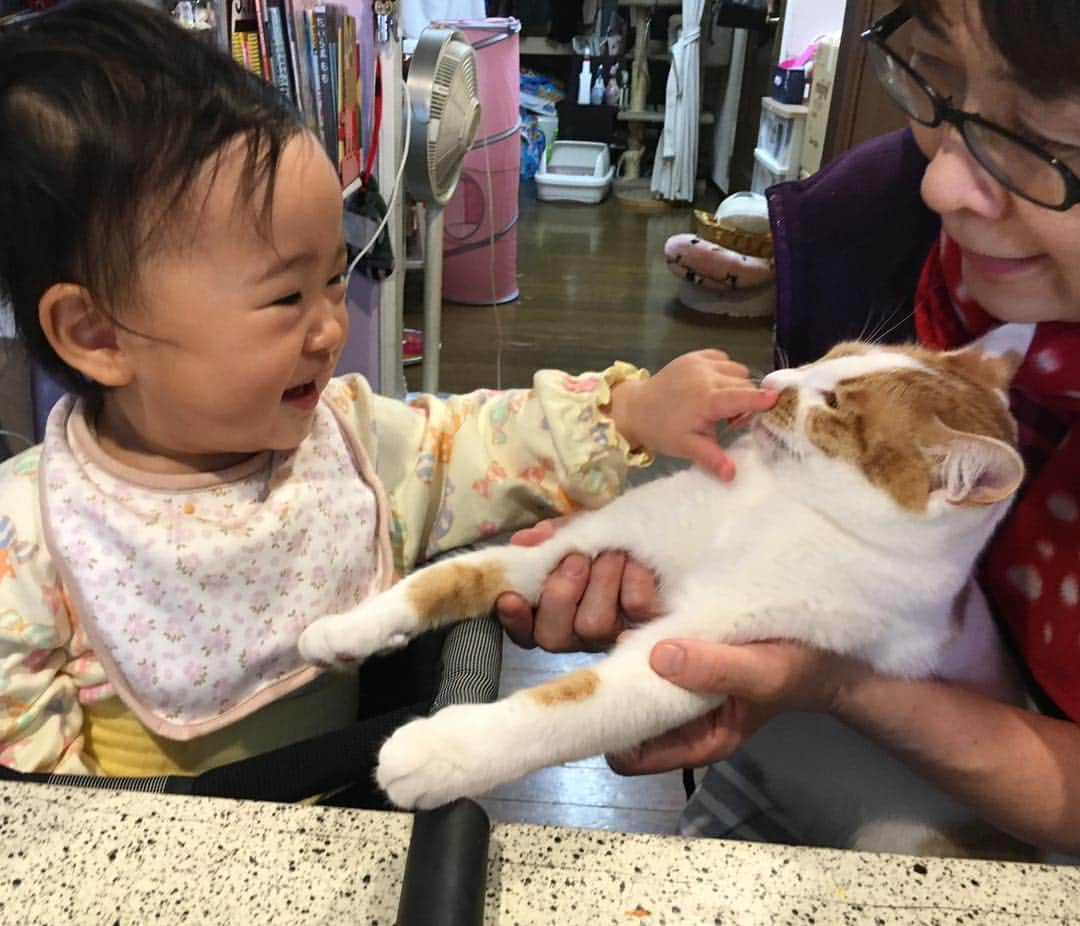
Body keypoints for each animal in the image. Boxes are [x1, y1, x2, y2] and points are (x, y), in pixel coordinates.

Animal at [300, 324, 1032, 808]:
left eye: (834, 406)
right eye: (830, 354)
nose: (771, 382)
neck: (780, 504)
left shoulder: (695, 653)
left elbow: (575, 706)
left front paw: (437, 754)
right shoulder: (592, 536)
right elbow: (452, 576)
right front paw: (343, 630)